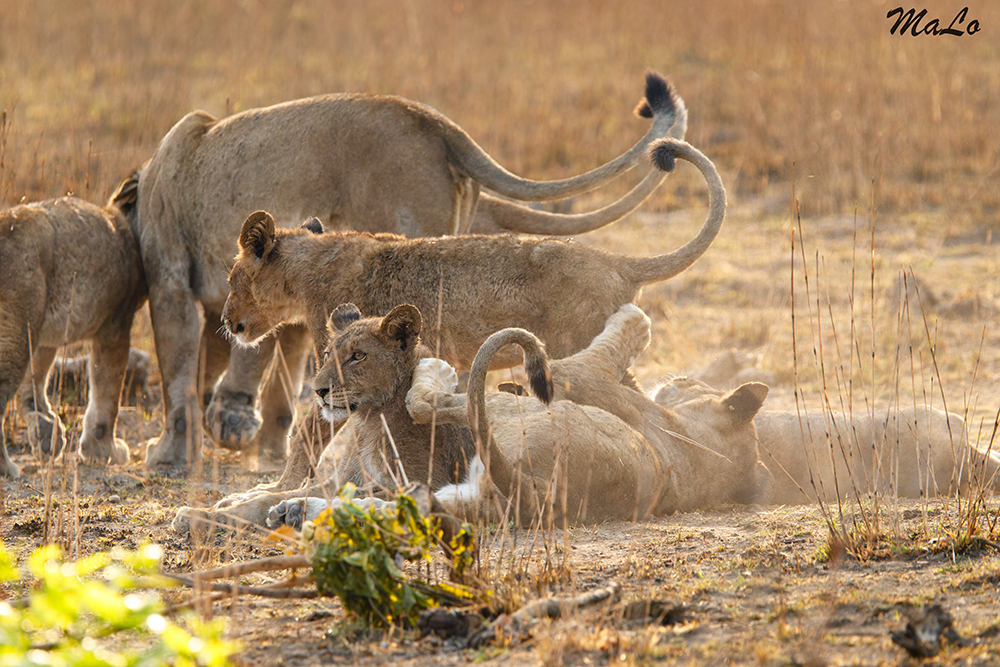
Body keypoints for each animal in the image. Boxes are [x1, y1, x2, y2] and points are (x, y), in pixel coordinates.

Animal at [0, 183, 147, 478]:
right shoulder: (115, 325)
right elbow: (107, 389)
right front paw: (102, 449)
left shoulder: (45, 335)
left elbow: (35, 381)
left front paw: (46, 432)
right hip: (15, 333)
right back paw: (5, 467)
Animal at [173, 303, 771, 531]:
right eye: (327, 354)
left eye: (357, 356)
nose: (318, 389)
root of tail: (535, 490)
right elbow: (257, 500)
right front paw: (210, 511)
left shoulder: (586, 372)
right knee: (411, 505)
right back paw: (296, 511)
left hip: (507, 410)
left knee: (429, 438)